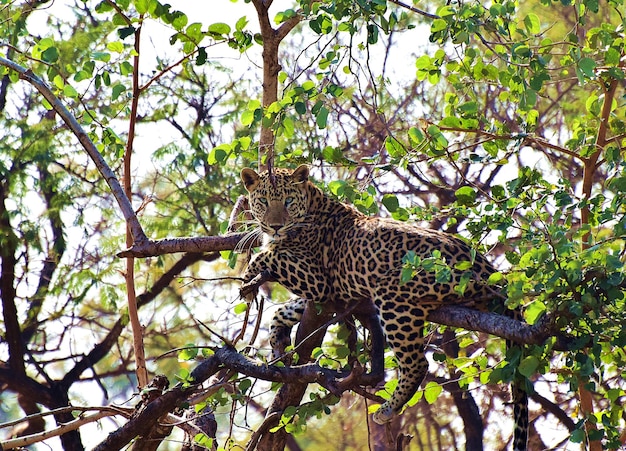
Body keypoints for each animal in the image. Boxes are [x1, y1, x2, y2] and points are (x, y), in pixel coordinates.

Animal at [239, 166, 528, 451]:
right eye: (263, 201)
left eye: (288, 201)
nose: (276, 226)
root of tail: (488, 268)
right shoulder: (334, 295)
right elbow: (285, 309)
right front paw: (277, 337)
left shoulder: (316, 280)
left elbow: (270, 255)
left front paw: (248, 278)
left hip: (393, 293)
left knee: (417, 363)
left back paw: (387, 409)